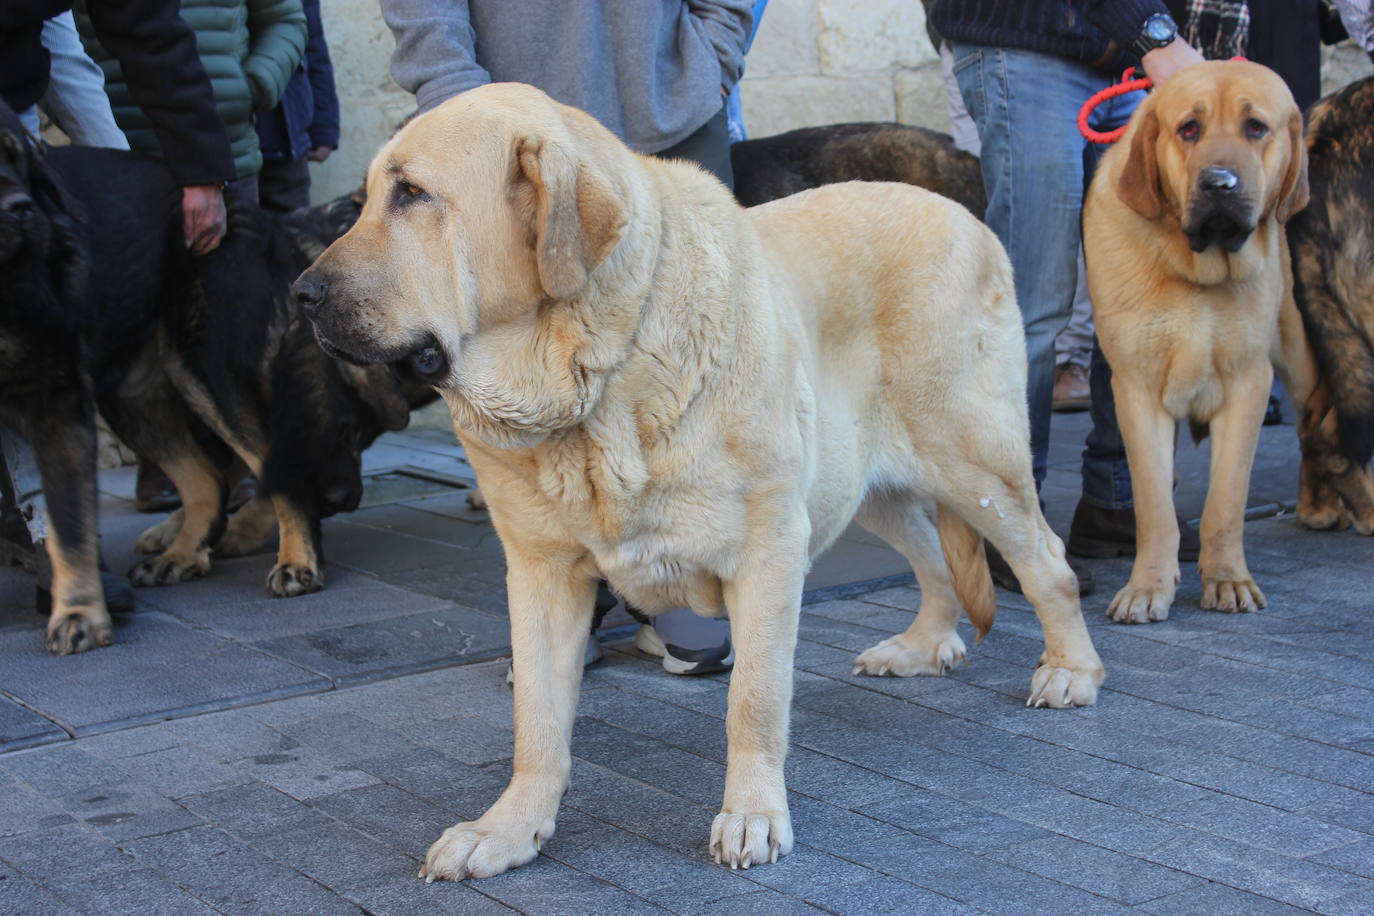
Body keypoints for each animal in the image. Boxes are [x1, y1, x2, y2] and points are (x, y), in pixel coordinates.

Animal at [1082, 60, 1308, 623]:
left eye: (1256, 127)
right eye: (1189, 129)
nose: (1219, 183)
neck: (1197, 273)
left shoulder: (1249, 384)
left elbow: (1226, 501)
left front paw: (1227, 580)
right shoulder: (1136, 390)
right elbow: (1154, 505)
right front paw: (1147, 587)